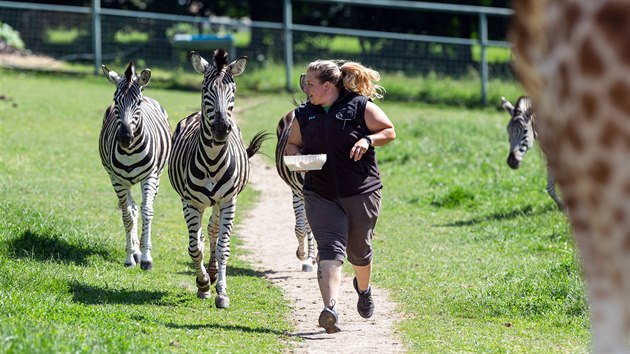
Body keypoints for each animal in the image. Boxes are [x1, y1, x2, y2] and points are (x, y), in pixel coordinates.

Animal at [99, 62, 173, 270]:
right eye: (115, 101)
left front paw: (147, 258)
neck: (130, 151)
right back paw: (135, 251)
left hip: (157, 177)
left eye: (137, 103)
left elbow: (147, 211)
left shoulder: (150, 177)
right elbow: (127, 215)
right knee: (131, 209)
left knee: (144, 206)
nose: (125, 138)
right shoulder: (118, 181)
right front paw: (130, 257)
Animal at [169, 49, 270, 306]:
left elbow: (223, 246)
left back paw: (214, 273)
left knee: (213, 230)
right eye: (206, 89)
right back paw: (206, 279)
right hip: (193, 203)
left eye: (232, 89)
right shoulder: (190, 203)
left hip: (217, 202)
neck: (213, 161)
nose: (222, 129)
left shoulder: (228, 202)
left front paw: (222, 292)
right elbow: (194, 247)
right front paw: (203, 283)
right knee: (200, 238)